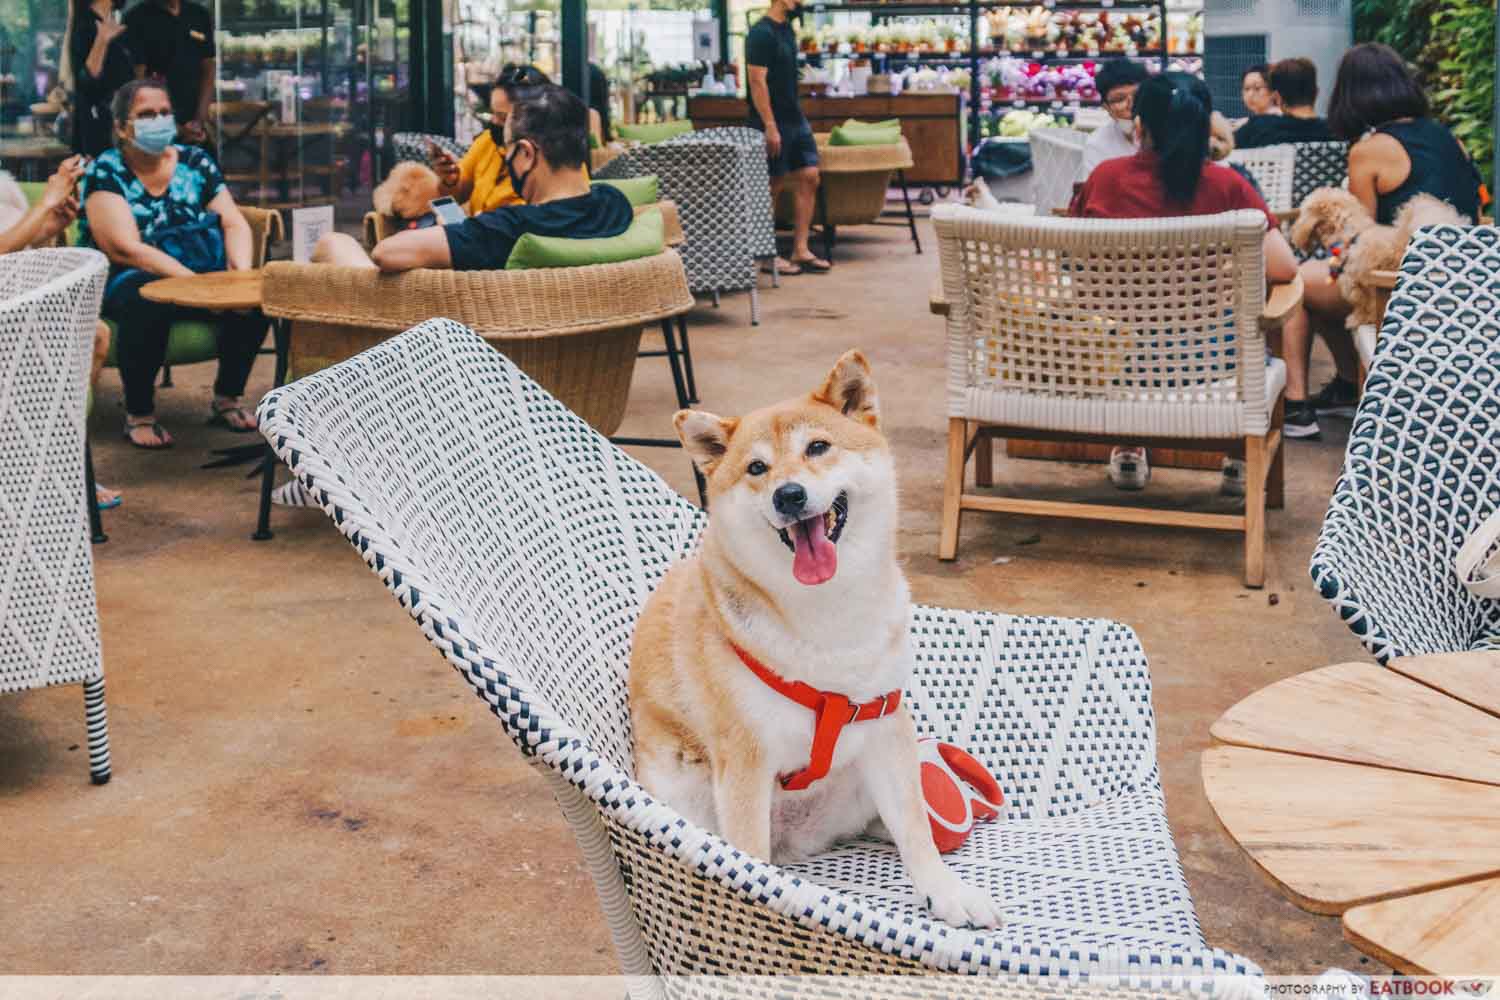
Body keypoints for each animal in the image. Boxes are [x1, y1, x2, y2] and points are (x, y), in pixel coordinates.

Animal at [627, 352, 1002, 929]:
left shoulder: (885, 726)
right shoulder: (746, 758)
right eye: (756, 469)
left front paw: (945, 891)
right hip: (684, 788)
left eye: (818, 447)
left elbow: (915, 829)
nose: (789, 495)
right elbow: (745, 864)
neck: (827, 615)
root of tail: (795, 842)